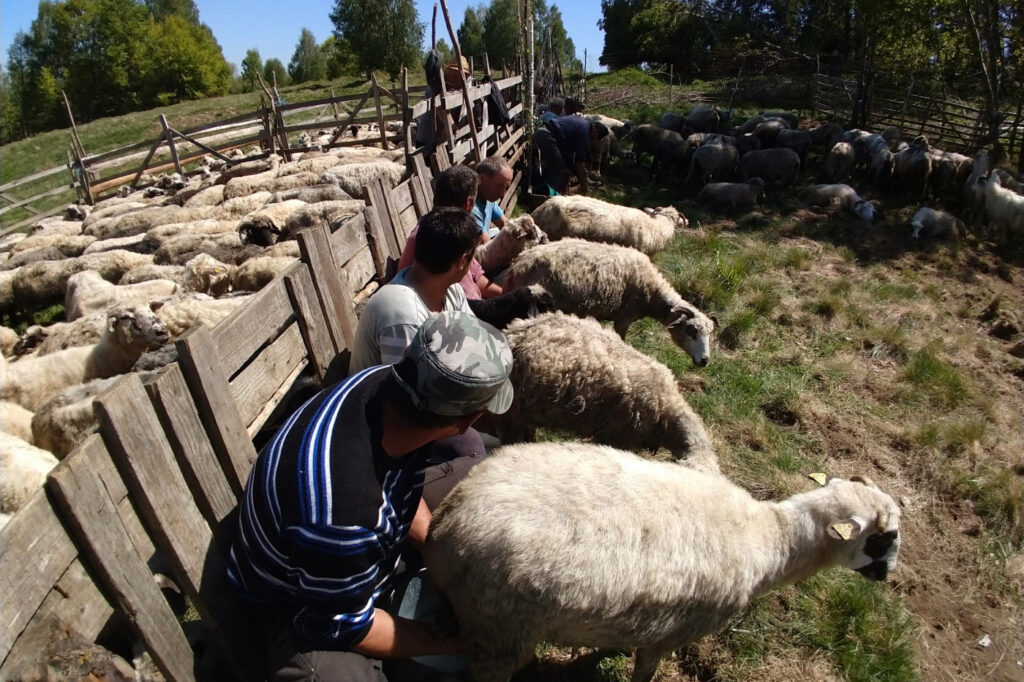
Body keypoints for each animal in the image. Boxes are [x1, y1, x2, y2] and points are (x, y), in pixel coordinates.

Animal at [428, 440, 901, 679]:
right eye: (883, 539)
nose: (888, 576)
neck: (771, 541)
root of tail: (445, 523)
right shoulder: (673, 633)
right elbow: (645, 672)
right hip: (498, 632)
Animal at [505, 238, 716, 366]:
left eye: (709, 334)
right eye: (691, 331)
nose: (705, 361)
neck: (653, 292)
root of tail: (518, 264)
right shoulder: (624, 317)